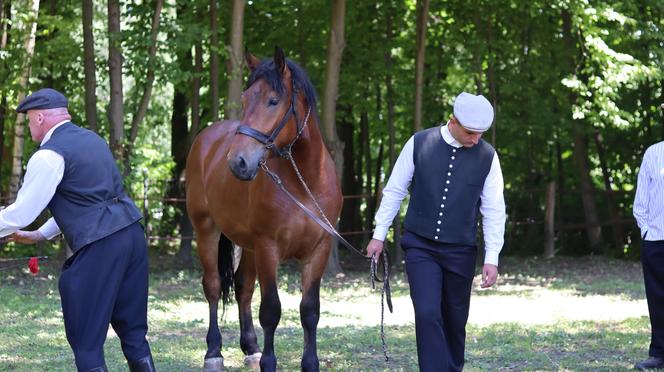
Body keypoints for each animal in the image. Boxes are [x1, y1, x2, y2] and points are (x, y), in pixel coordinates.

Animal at [185, 47, 342, 372]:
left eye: (273, 100)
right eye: (245, 100)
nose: (238, 162)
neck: (305, 182)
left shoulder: (318, 250)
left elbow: (310, 310)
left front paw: (309, 363)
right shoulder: (269, 247)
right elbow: (271, 309)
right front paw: (269, 362)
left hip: (249, 246)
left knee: (243, 289)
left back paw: (251, 348)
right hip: (207, 231)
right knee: (213, 286)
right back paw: (213, 352)